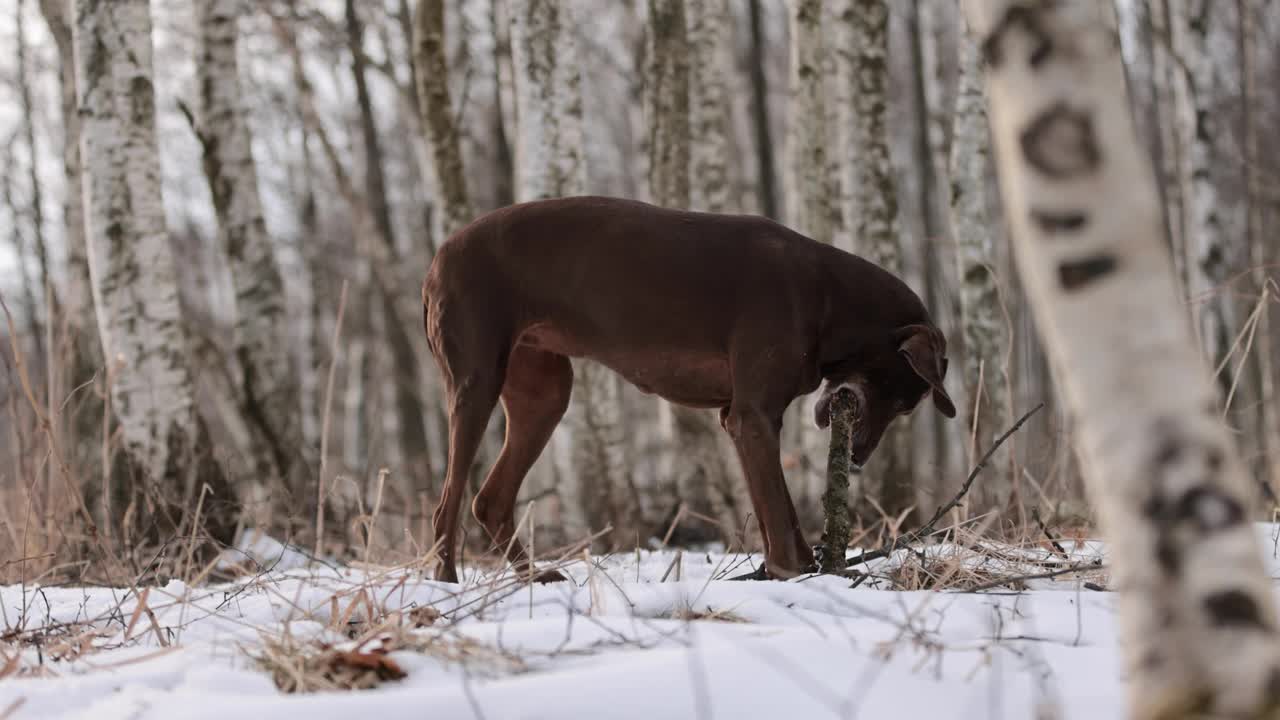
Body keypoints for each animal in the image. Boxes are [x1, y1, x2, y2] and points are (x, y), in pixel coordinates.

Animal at [424, 193, 957, 579]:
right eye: (903, 402)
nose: (858, 457)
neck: (830, 298)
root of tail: (438, 256)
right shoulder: (752, 416)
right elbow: (778, 514)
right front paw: (793, 576)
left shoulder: (738, 417)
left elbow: (776, 510)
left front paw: (802, 570)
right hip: (476, 383)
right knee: (448, 503)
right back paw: (447, 582)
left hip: (544, 395)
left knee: (489, 501)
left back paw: (535, 578)